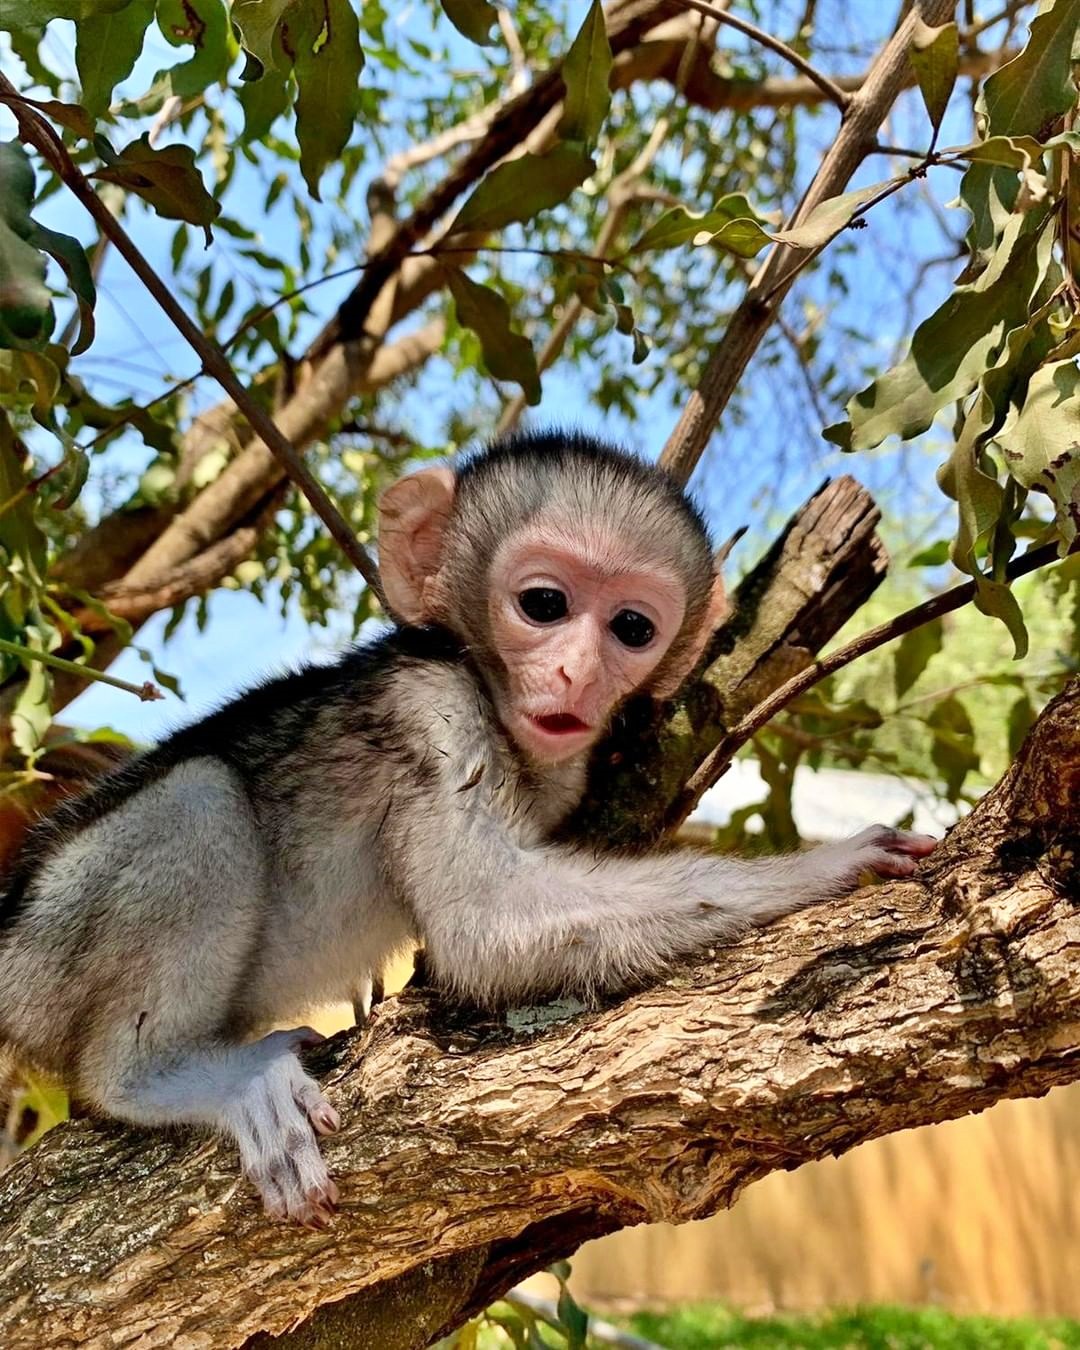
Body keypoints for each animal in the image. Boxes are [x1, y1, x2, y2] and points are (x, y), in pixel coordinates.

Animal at [0, 432, 934, 1225]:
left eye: (632, 627)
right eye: (544, 604)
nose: (577, 672)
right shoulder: (433, 707)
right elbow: (481, 919)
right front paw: (826, 866)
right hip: (53, 938)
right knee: (200, 797)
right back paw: (165, 1076)